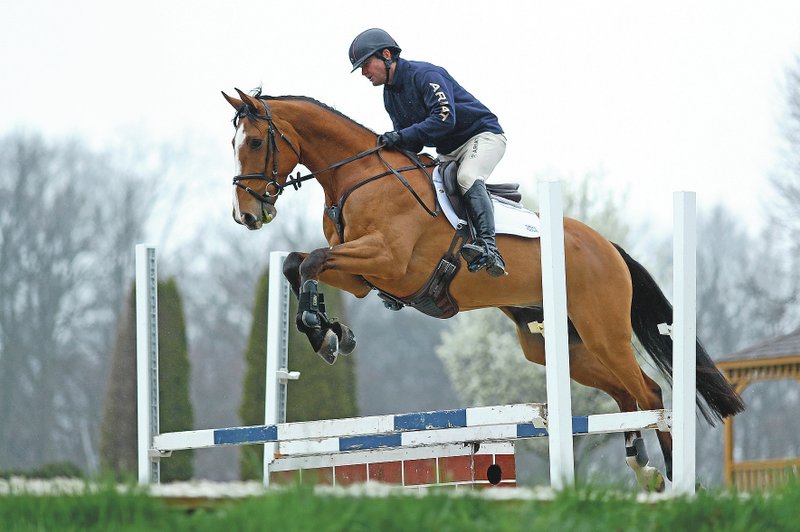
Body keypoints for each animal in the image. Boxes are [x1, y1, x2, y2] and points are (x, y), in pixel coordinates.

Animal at [220, 87, 744, 490]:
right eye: (234, 142)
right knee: (626, 396)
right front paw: (328, 333)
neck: (358, 178)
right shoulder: (362, 276)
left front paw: (321, 329)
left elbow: (310, 259)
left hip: (603, 332)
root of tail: (607, 247)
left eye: (255, 140)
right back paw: (644, 470)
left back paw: (673, 479)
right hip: (555, 345)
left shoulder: (387, 261)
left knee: (650, 393)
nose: (245, 214)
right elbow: (297, 262)